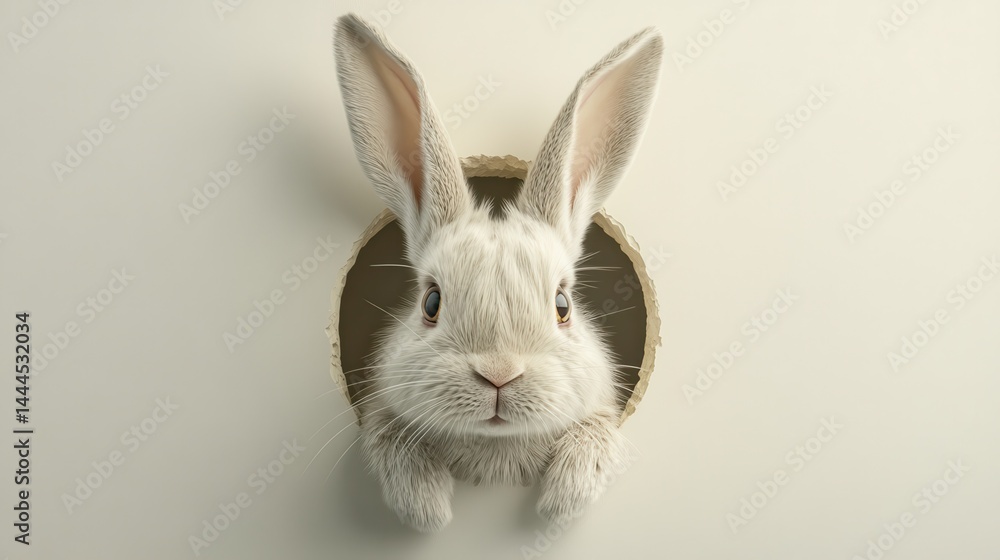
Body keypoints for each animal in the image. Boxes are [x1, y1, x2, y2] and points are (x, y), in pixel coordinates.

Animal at [333, 13, 663, 532]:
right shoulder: (381, 413)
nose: (499, 376)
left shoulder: (601, 413)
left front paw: (561, 503)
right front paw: (427, 509)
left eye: (562, 305)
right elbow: (392, 443)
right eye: (431, 302)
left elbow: (594, 437)